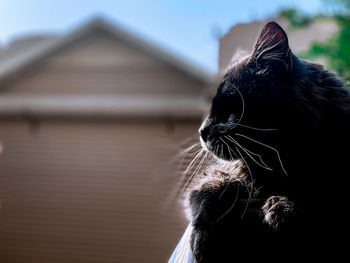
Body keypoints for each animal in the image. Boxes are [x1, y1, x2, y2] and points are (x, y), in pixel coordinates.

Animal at [187, 21, 348, 262]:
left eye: (227, 106)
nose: (201, 131)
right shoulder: (226, 172)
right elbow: (211, 184)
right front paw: (204, 232)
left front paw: (284, 209)